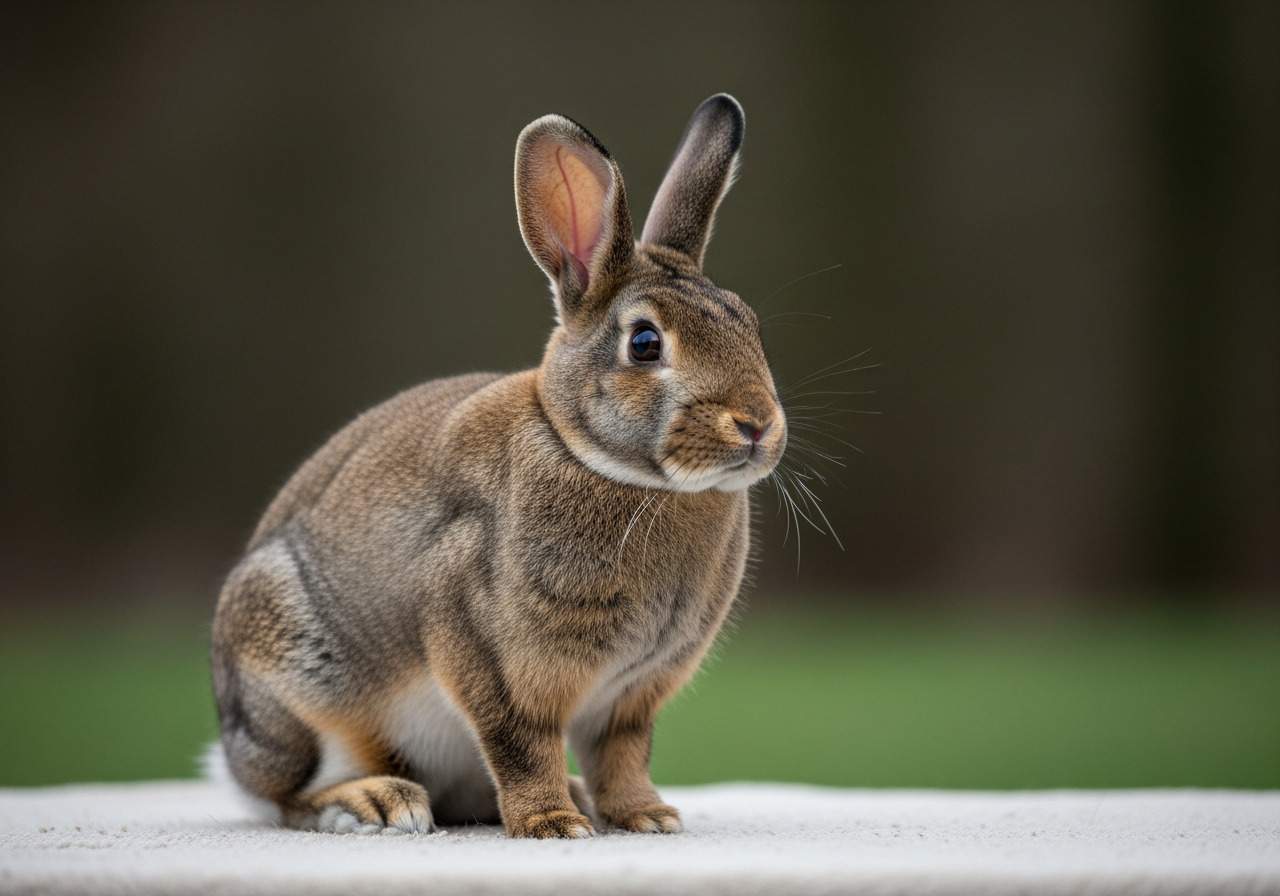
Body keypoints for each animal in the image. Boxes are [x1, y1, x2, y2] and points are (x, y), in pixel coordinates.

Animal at [210, 93, 786, 839]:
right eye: (645, 343)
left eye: (749, 324)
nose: (758, 425)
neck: (597, 460)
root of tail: (231, 748)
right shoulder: (492, 656)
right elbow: (520, 742)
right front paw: (552, 825)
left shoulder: (631, 695)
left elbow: (623, 754)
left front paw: (645, 817)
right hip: (300, 683)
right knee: (291, 795)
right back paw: (378, 803)